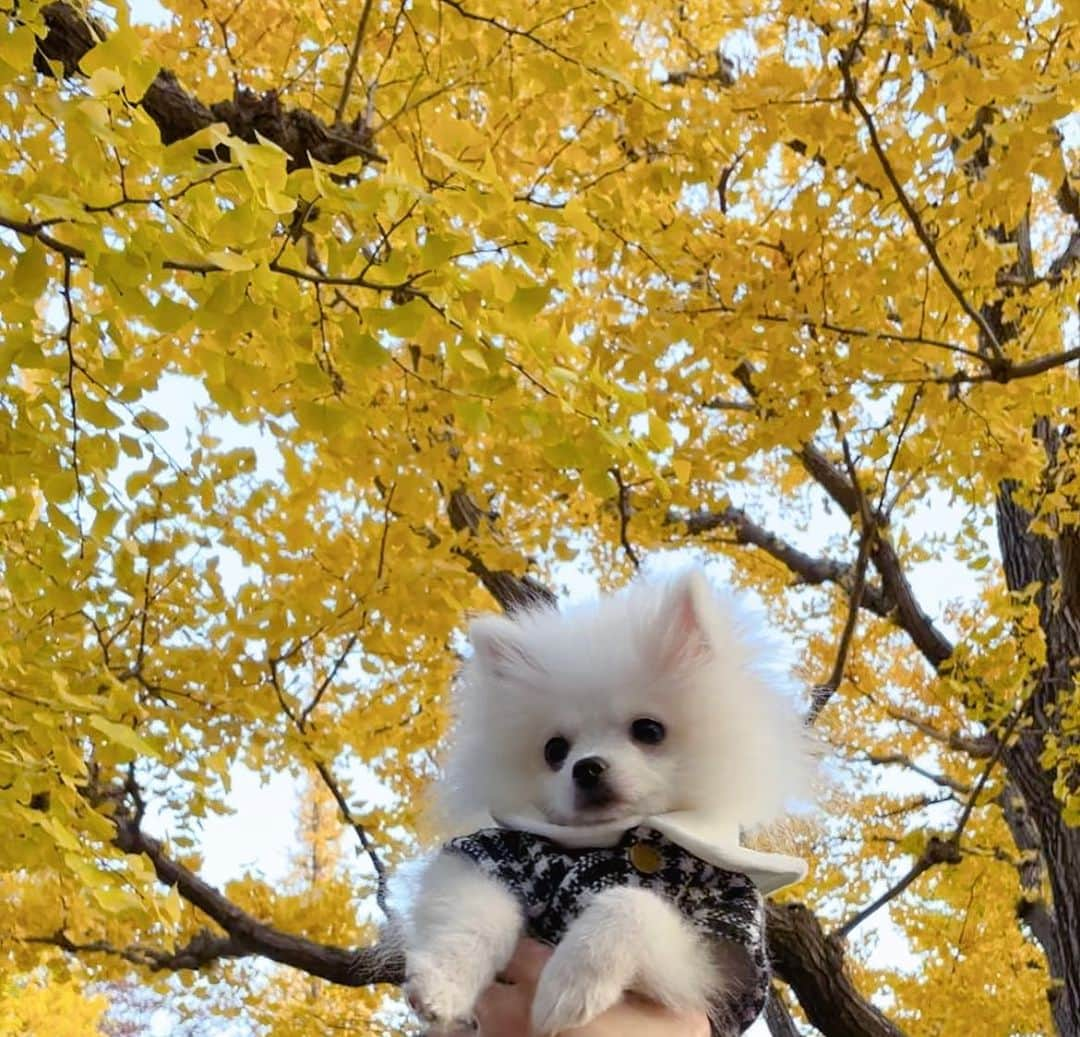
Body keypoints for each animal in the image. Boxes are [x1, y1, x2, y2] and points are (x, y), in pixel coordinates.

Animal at [406, 570, 812, 1032]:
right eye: (554, 750)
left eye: (649, 730)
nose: (587, 767)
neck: (615, 838)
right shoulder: (495, 855)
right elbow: (476, 915)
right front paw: (443, 984)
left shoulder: (721, 956)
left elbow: (632, 902)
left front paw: (571, 982)